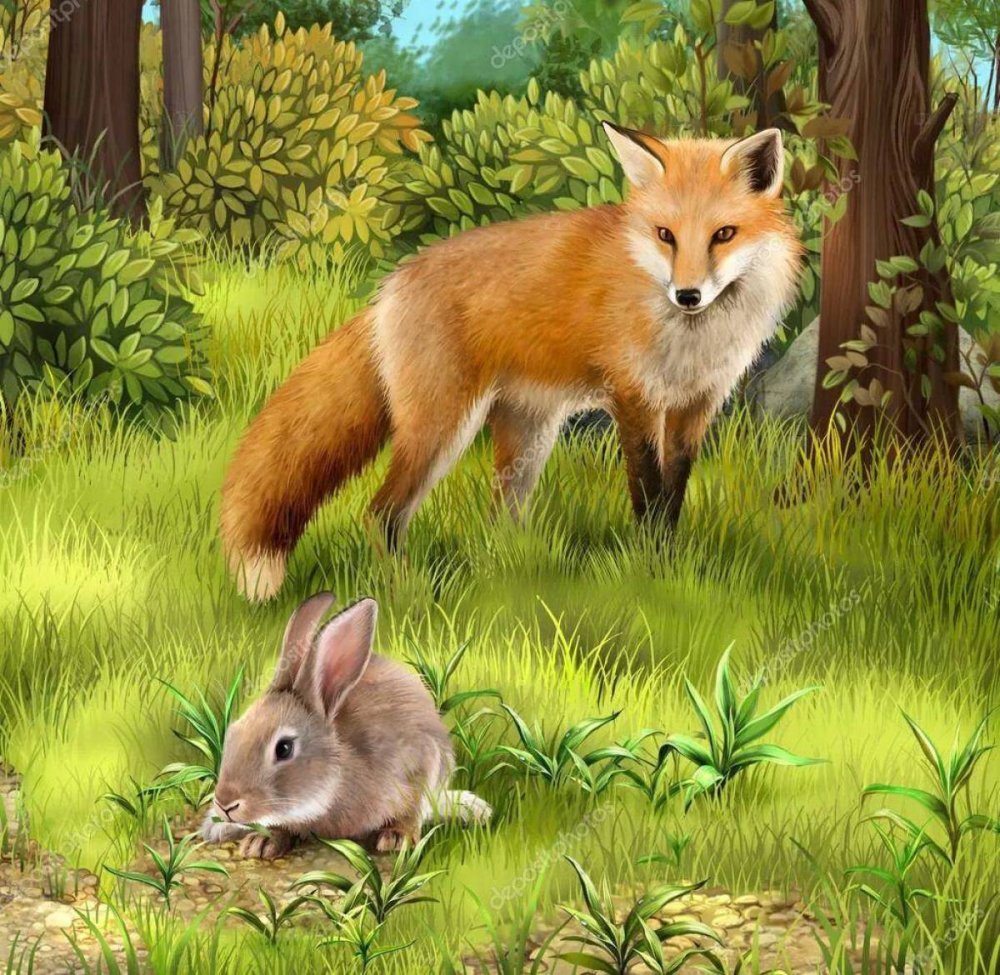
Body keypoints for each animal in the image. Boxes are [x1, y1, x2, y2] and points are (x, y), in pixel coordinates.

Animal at [202, 593, 492, 859]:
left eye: (284, 748)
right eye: (232, 734)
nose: (225, 803)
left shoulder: (423, 760)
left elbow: (412, 809)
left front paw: (397, 837)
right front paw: (262, 842)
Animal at [221, 125, 803, 600]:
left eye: (723, 234)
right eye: (666, 235)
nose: (687, 295)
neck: (691, 339)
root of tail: (390, 287)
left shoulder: (695, 405)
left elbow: (673, 498)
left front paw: (666, 567)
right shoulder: (633, 399)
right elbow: (647, 496)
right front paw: (649, 575)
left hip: (527, 435)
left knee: (498, 520)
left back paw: (509, 578)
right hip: (441, 430)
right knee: (382, 513)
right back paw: (406, 592)